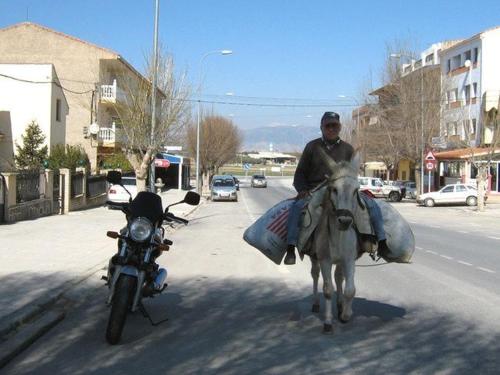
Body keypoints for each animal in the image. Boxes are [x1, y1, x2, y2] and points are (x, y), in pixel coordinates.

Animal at [308, 153, 368, 334]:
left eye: (356, 190)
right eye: (334, 189)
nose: (345, 221)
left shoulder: (348, 259)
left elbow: (350, 289)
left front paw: (346, 314)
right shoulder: (325, 260)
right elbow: (328, 289)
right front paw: (328, 322)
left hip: (340, 261)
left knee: (339, 278)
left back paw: (341, 304)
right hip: (316, 259)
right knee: (315, 275)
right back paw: (316, 303)